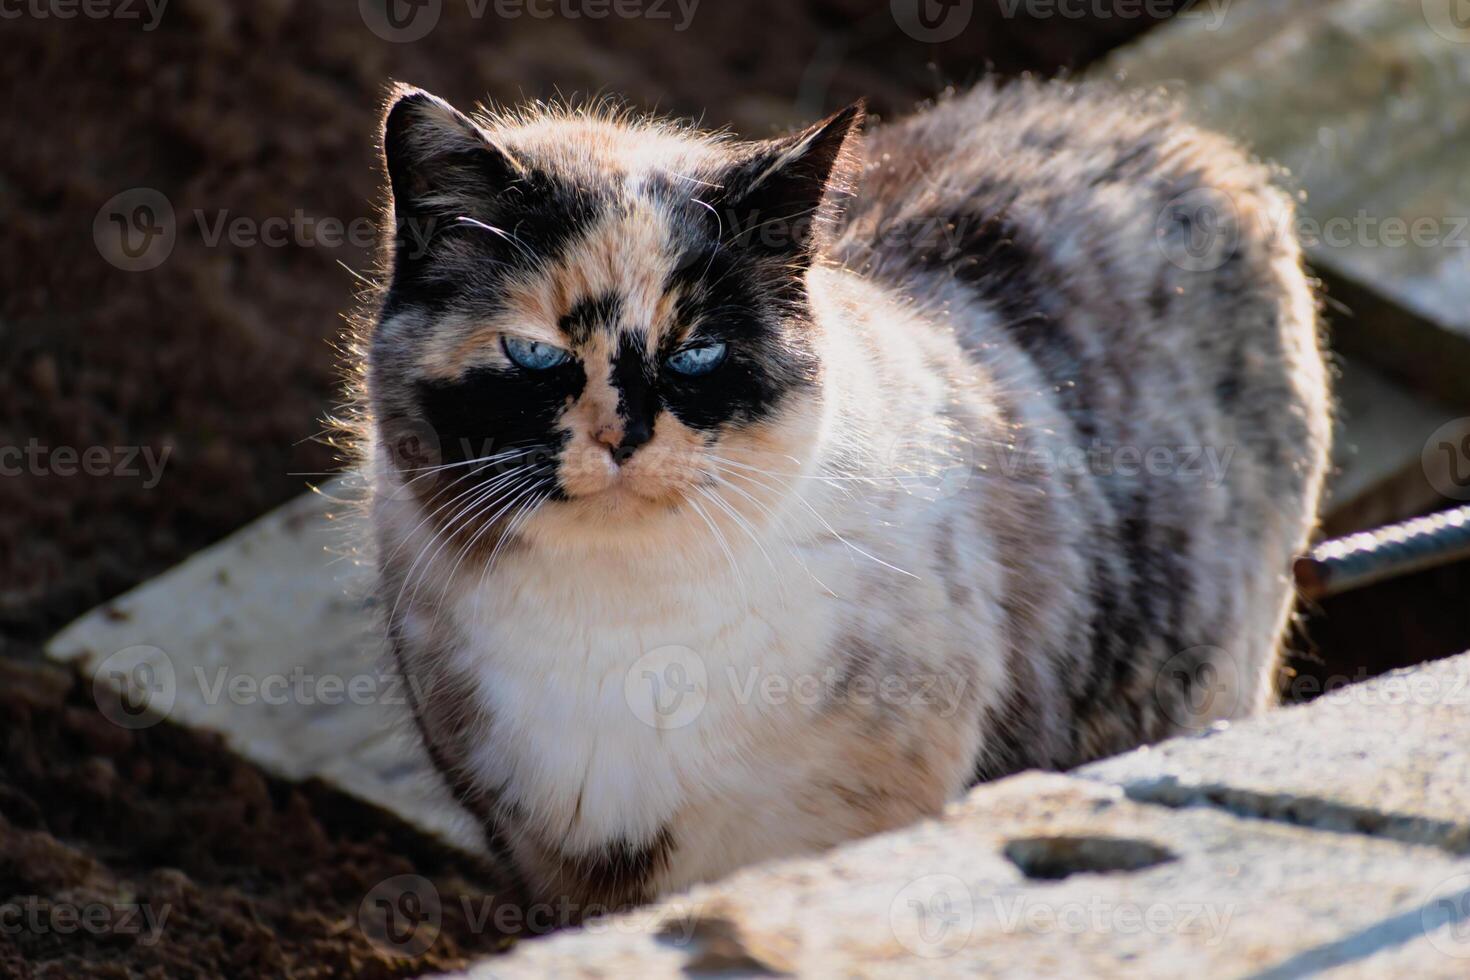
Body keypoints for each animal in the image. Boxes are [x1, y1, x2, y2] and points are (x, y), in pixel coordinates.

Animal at [355, 80, 1334, 916]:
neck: (626, 628)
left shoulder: (857, 819)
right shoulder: (547, 859)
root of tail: (1159, 119)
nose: (622, 435)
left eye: (699, 353)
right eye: (534, 354)